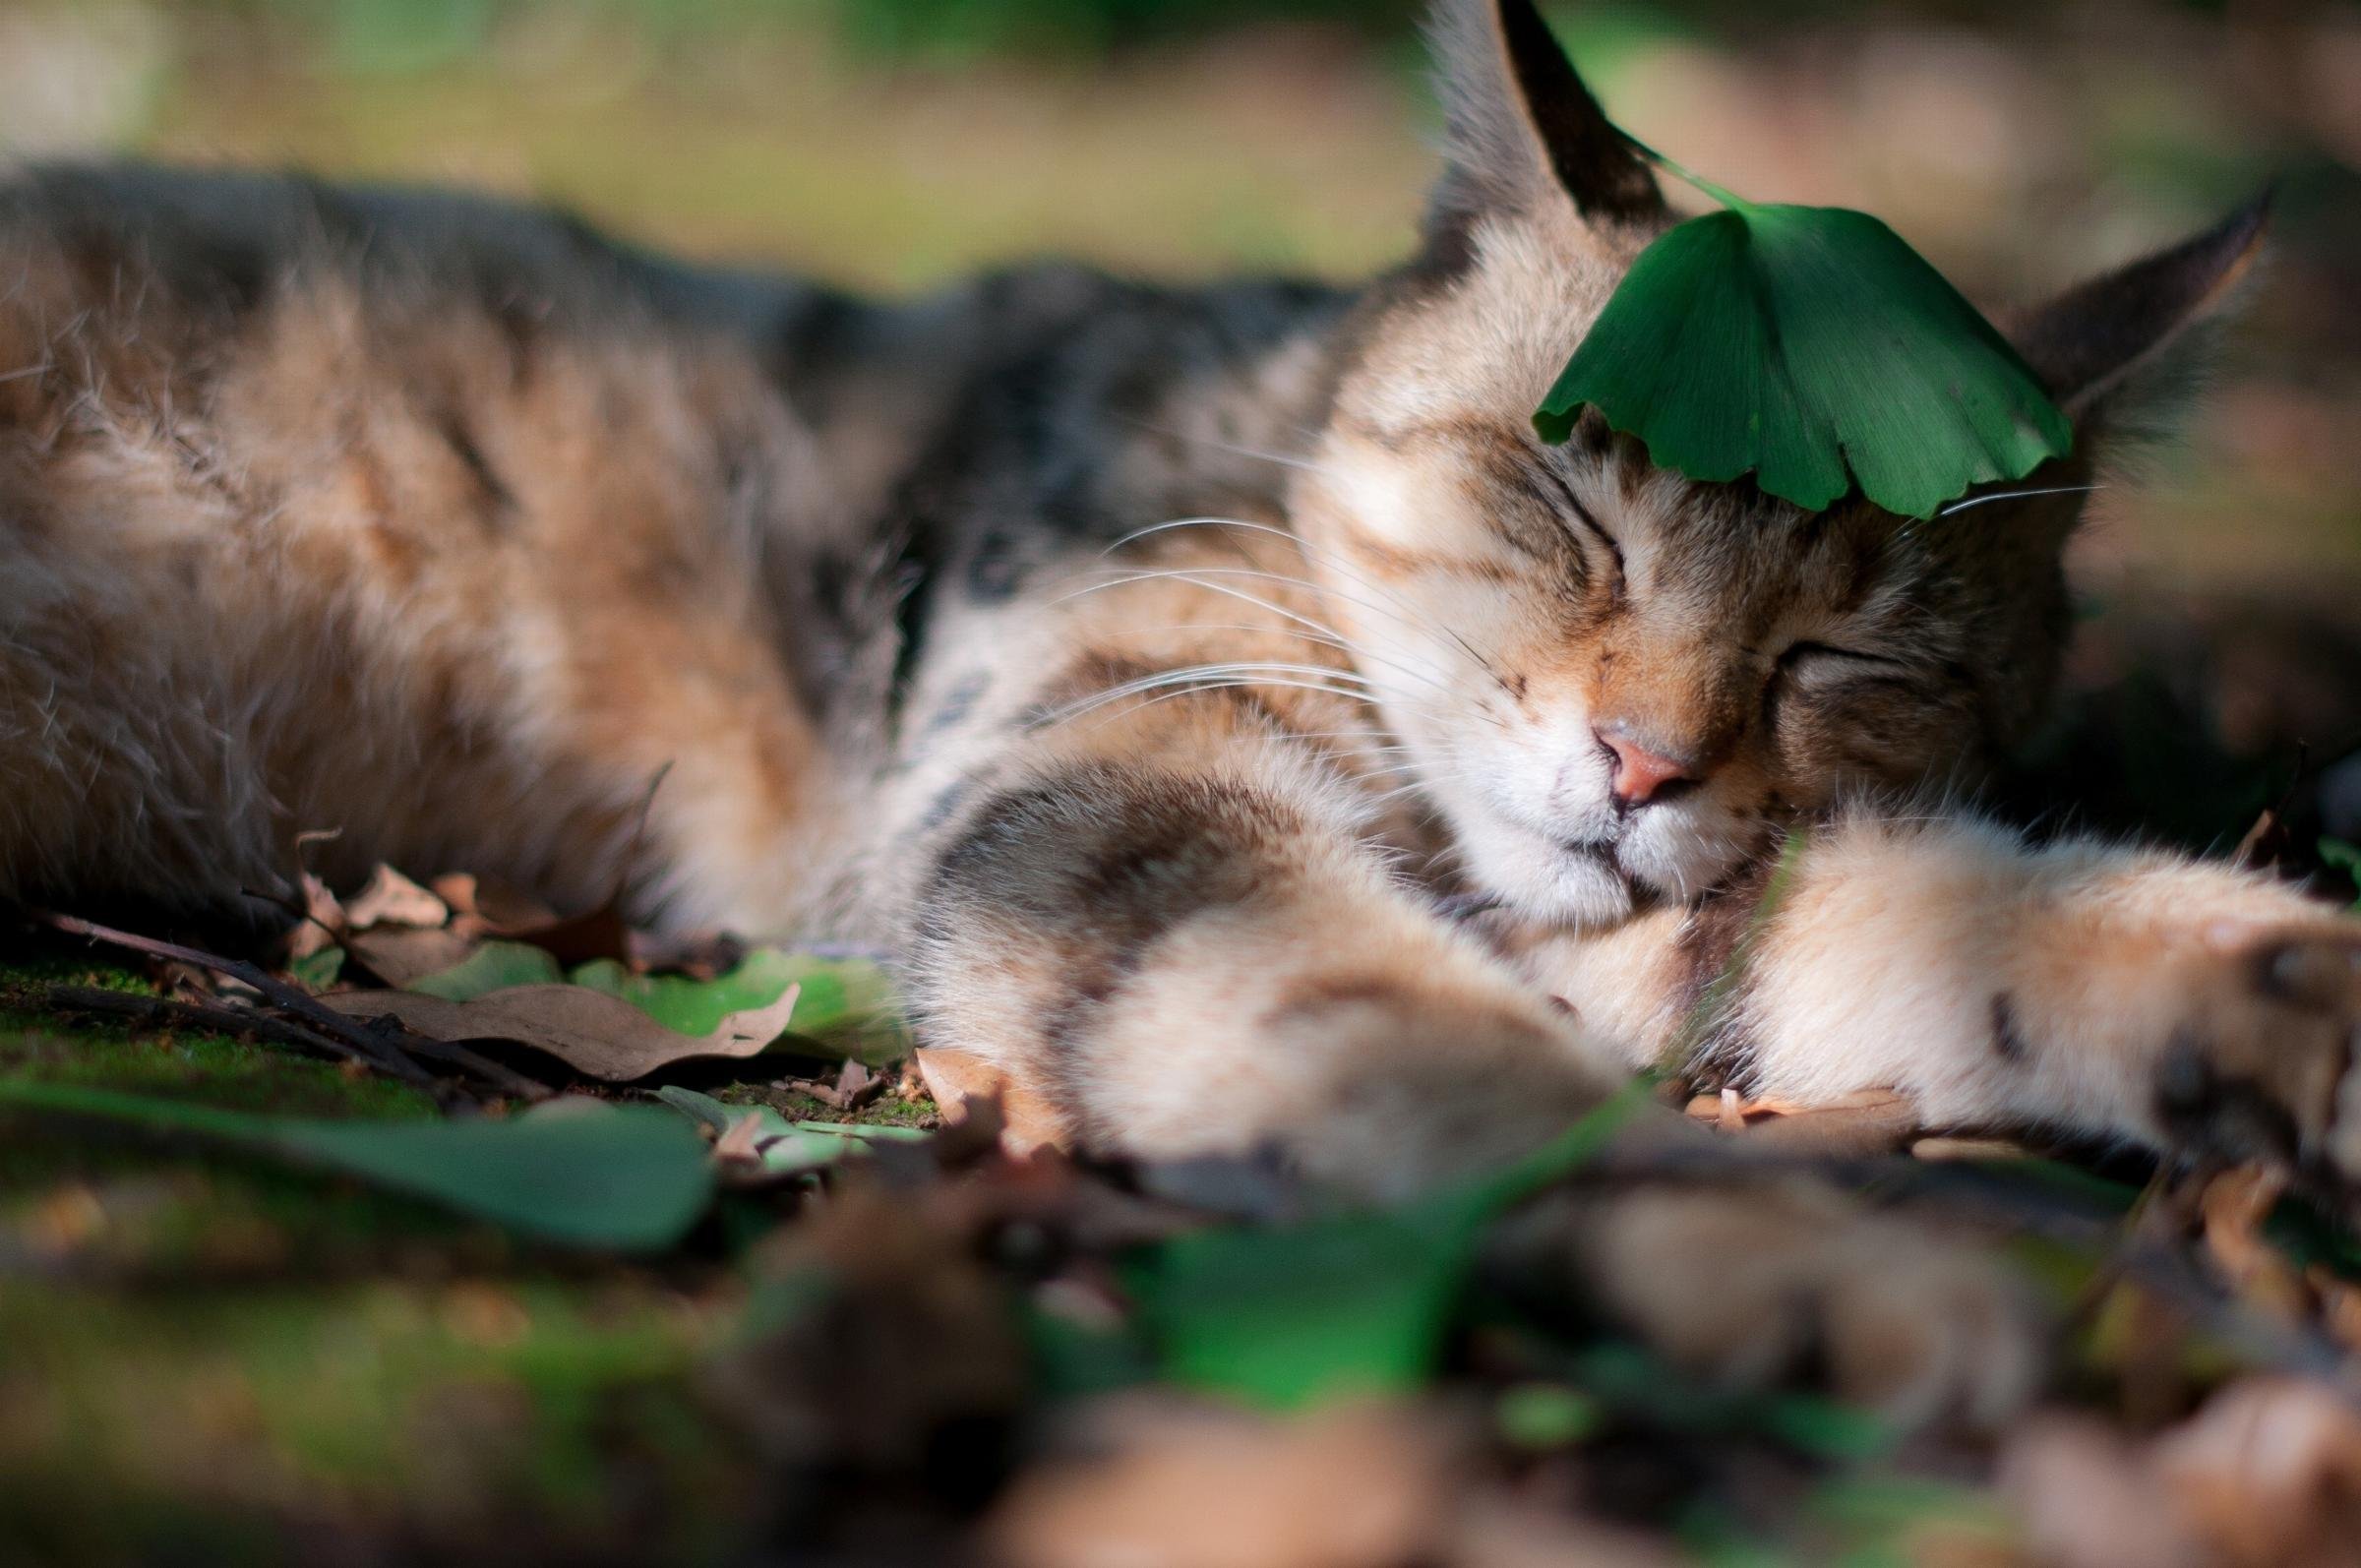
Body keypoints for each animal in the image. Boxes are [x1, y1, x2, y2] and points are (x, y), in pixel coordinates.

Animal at [4, 0, 2361, 1417]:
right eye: (1570, 504)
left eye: (1845, 650)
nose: (1639, 763)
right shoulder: (1110, 795)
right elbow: (1422, 1050)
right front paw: (1792, 1254)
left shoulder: (1641, 899)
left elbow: (1936, 915)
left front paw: (2273, 991)